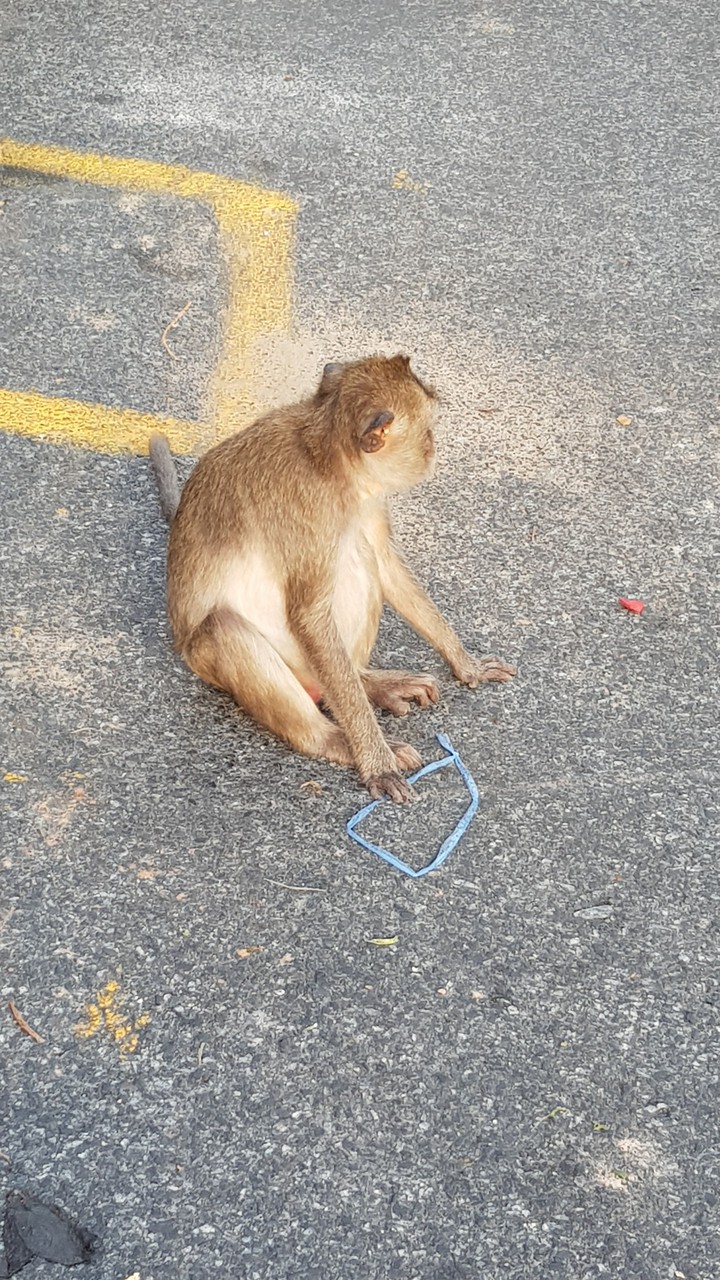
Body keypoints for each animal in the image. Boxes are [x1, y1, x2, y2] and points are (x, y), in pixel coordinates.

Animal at [149, 354, 515, 803]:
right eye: (427, 430)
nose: (432, 450)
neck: (330, 457)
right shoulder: (307, 512)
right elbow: (308, 614)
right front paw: (376, 761)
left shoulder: (368, 497)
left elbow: (386, 564)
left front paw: (467, 665)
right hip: (222, 663)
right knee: (223, 627)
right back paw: (332, 737)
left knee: (361, 558)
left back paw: (368, 682)